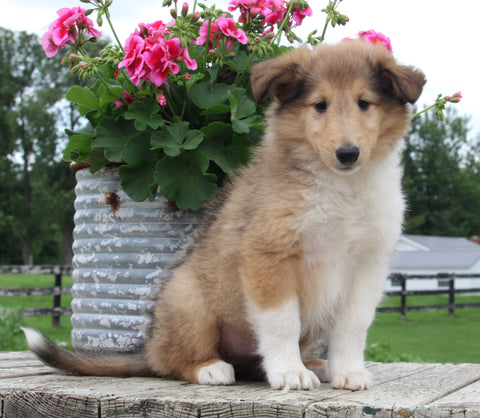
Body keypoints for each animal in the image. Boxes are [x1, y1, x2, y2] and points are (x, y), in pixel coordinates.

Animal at [24, 40, 426, 392]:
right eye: (319, 105)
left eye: (364, 103)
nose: (347, 153)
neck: (340, 188)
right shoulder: (268, 255)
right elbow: (282, 321)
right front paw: (290, 374)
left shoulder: (366, 265)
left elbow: (352, 326)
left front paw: (349, 373)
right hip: (189, 301)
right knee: (169, 360)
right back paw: (212, 369)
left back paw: (317, 364)